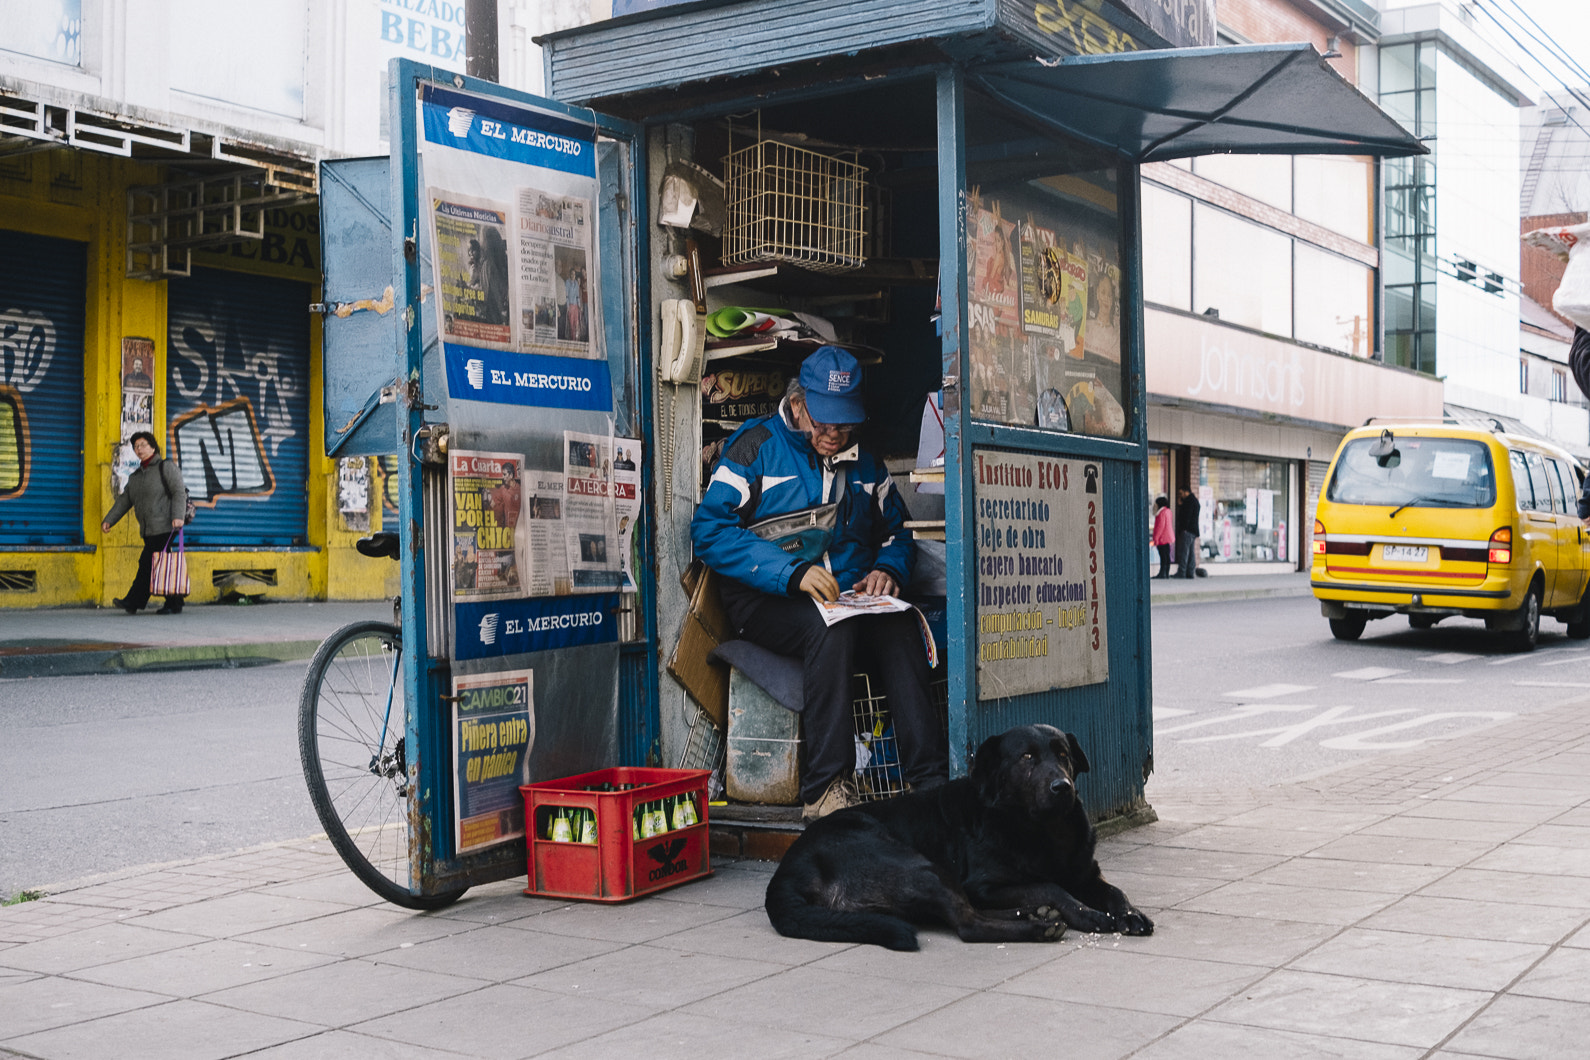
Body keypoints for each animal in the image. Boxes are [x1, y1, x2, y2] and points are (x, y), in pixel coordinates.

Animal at [763, 724, 1151, 947]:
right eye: (1027, 757)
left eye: (1063, 754)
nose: (1062, 786)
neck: (1043, 829)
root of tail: (786, 872)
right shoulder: (984, 885)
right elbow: (1051, 886)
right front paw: (1089, 916)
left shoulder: (1086, 875)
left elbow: (1114, 892)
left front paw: (1130, 914)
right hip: (918, 866)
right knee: (968, 923)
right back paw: (1037, 928)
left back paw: (1031, 915)